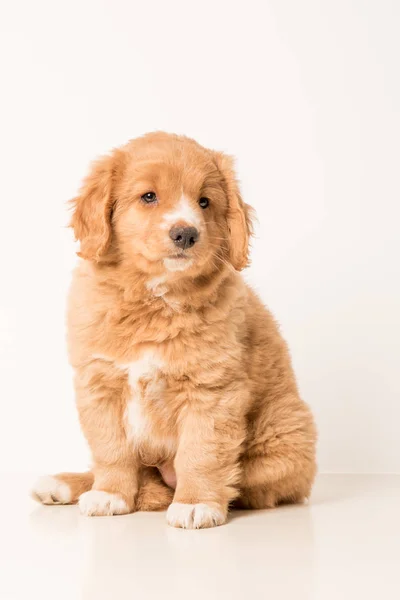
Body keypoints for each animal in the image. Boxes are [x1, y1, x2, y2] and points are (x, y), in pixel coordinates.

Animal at [32, 134, 318, 528]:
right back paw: (63, 484)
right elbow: (111, 449)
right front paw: (110, 494)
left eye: (204, 202)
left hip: (282, 443)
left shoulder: (211, 390)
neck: (154, 300)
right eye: (149, 196)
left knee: (247, 487)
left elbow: (200, 452)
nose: (186, 233)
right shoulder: (99, 384)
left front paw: (196, 502)